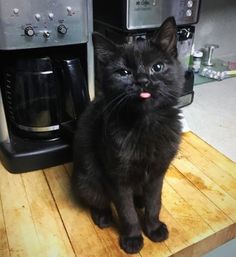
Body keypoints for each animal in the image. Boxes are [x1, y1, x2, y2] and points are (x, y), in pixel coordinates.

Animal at [72, 17, 184, 253]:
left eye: (157, 67)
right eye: (123, 72)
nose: (142, 80)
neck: (145, 124)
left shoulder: (158, 173)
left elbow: (154, 203)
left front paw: (153, 228)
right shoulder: (117, 178)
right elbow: (126, 212)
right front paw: (132, 238)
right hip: (87, 180)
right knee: (97, 200)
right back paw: (103, 216)